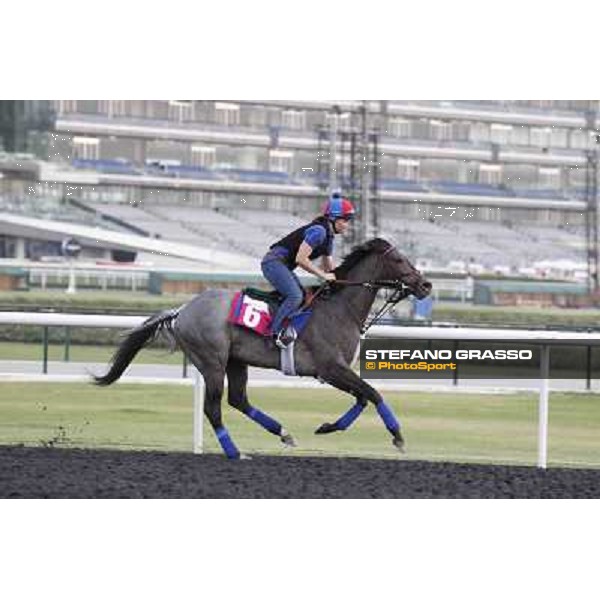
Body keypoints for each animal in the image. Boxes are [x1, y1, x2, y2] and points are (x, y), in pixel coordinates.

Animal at [92, 237, 432, 458]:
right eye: (399, 260)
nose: (426, 285)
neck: (340, 308)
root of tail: (183, 310)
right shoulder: (329, 368)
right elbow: (374, 394)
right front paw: (398, 437)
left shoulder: (335, 371)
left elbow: (363, 398)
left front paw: (327, 427)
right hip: (212, 361)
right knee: (213, 408)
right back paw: (235, 452)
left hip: (236, 361)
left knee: (238, 400)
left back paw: (283, 433)